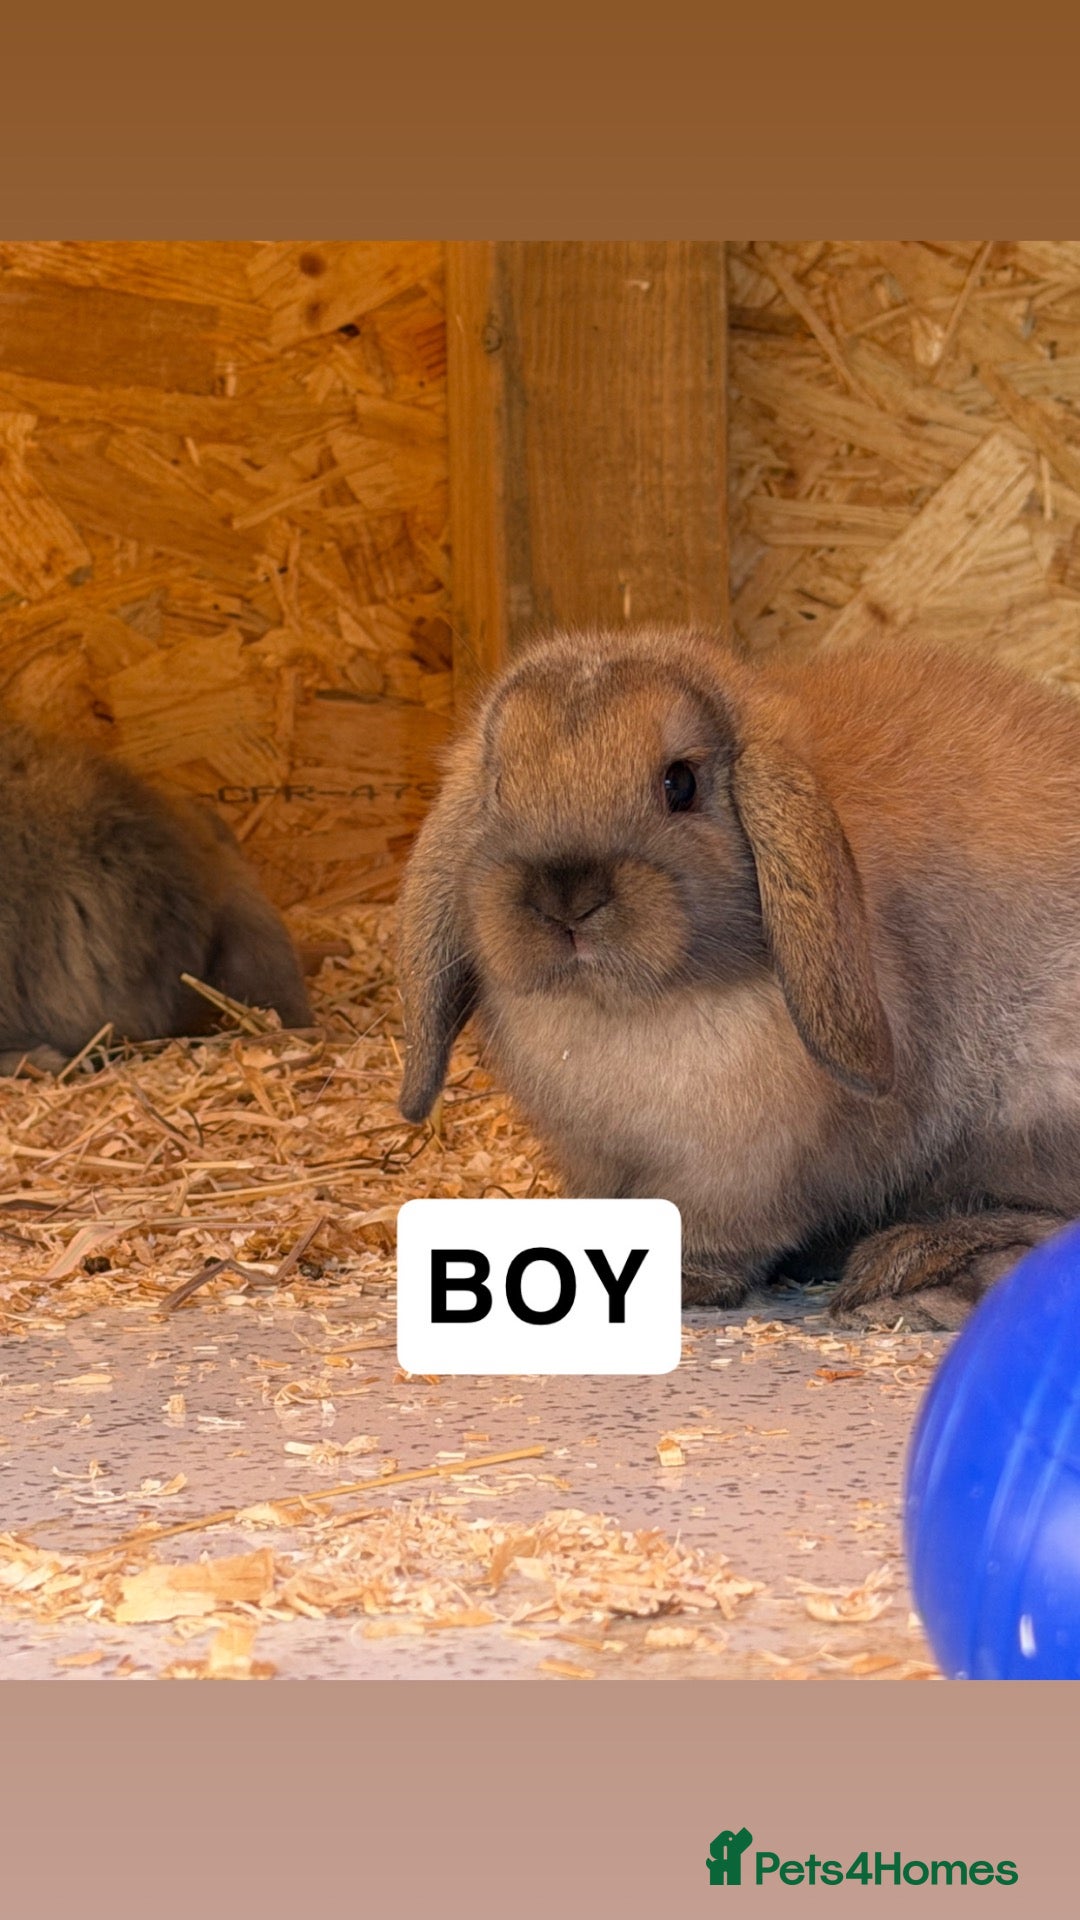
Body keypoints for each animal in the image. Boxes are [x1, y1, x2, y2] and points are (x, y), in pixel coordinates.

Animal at [396, 623, 1080, 1332]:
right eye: (499, 786)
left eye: (681, 783)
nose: (566, 898)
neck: (623, 1010)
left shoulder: (738, 1176)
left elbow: (715, 1234)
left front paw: (686, 1280)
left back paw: (914, 1270)